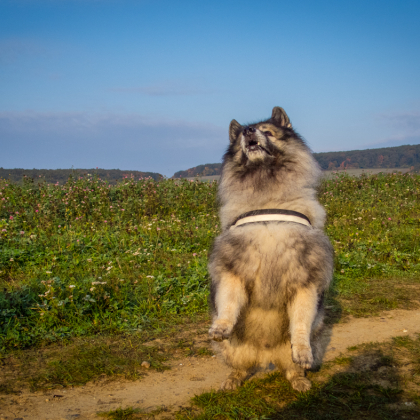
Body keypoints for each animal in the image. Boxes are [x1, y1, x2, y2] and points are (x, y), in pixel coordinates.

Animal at [208, 106, 334, 392]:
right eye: (240, 137)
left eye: (267, 131)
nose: (248, 131)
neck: (268, 200)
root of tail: (266, 355)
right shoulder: (234, 272)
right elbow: (228, 303)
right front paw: (221, 326)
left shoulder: (305, 283)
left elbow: (301, 322)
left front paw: (302, 350)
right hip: (235, 351)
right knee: (240, 367)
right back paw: (232, 380)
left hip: (297, 348)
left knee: (292, 368)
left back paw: (300, 381)